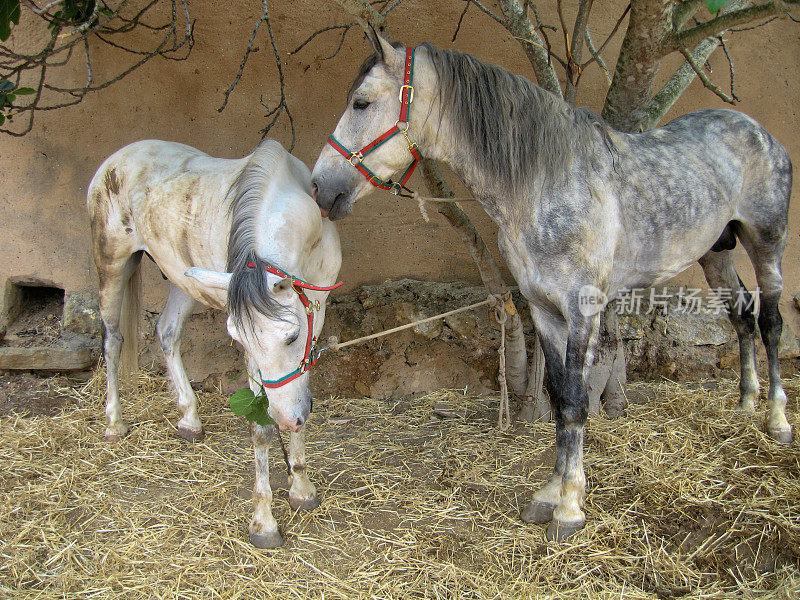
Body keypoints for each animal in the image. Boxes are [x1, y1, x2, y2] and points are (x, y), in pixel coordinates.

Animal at [88, 141, 344, 548]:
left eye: (291, 336)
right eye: (239, 340)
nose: (287, 419)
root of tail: (118, 157)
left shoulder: (316, 310)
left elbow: (301, 392)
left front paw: (302, 489)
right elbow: (261, 429)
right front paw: (264, 523)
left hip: (181, 277)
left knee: (167, 332)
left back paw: (189, 419)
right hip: (111, 263)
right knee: (112, 341)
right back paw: (115, 422)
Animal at [310, 35, 792, 540]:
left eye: (362, 102)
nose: (320, 187)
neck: (543, 186)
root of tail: (757, 130)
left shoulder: (582, 309)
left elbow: (578, 401)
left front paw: (570, 508)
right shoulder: (543, 309)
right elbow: (559, 398)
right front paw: (549, 494)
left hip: (767, 242)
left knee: (771, 322)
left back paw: (777, 420)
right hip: (716, 252)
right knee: (742, 317)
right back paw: (745, 404)